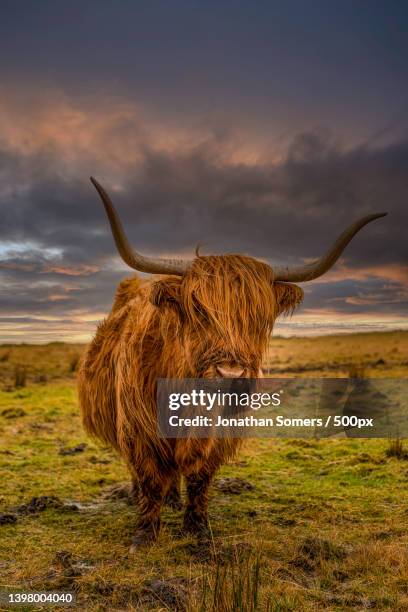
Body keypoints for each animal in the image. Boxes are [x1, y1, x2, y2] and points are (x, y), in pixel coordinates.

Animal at [78, 178, 388, 548]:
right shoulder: (137, 429)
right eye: (198, 308)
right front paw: (145, 534)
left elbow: (199, 478)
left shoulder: (220, 433)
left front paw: (197, 528)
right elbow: (150, 477)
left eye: (260, 316)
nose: (230, 373)